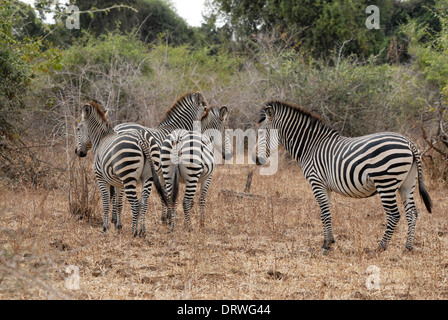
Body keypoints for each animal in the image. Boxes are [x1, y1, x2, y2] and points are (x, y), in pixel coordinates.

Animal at [74, 101, 167, 236]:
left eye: (78, 129)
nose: (78, 152)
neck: (101, 140)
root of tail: (141, 138)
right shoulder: (118, 183)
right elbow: (118, 204)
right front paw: (118, 226)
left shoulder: (101, 178)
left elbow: (106, 203)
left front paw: (105, 227)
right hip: (148, 176)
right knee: (144, 203)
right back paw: (142, 231)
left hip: (128, 176)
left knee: (135, 204)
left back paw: (134, 231)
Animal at [113, 91, 209, 234]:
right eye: (204, 109)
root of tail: (117, 128)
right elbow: (168, 193)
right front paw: (169, 218)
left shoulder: (163, 172)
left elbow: (166, 193)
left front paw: (166, 218)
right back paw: (118, 224)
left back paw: (115, 222)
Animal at [254, 101, 432, 251]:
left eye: (262, 133)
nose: (255, 159)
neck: (311, 147)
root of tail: (409, 142)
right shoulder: (325, 186)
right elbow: (325, 213)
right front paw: (328, 240)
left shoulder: (316, 182)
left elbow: (325, 212)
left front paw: (327, 245)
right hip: (407, 184)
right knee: (412, 213)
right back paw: (408, 247)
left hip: (385, 182)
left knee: (394, 215)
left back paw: (380, 248)